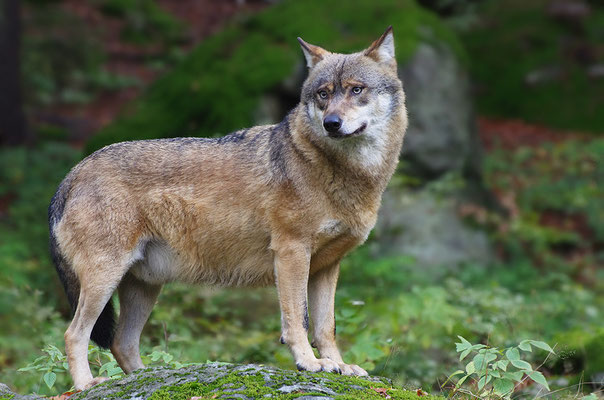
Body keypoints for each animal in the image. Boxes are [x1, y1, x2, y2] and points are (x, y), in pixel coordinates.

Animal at [47, 26, 406, 390]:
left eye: (356, 89)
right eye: (323, 94)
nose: (331, 123)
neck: (345, 173)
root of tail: (72, 174)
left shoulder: (327, 266)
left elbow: (326, 327)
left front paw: (340, 366)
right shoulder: (291, 253)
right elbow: (297, 321)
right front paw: (309, 362)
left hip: (144, 287)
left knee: (122, 342)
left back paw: (145, 378)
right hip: (104, 280)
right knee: (74, 334)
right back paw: (86, 385)